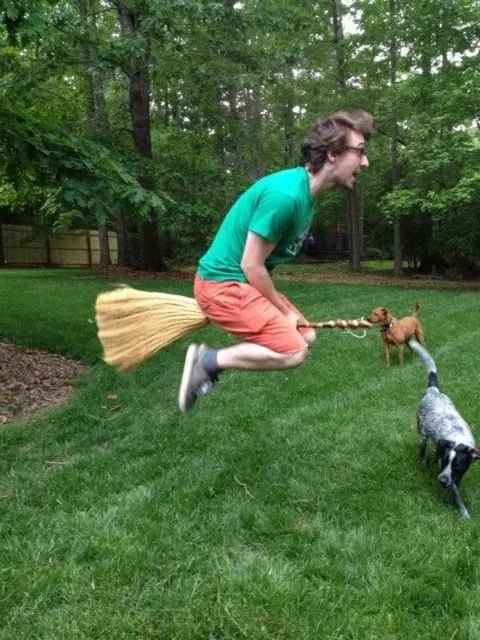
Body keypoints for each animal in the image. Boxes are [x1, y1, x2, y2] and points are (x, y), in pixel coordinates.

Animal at [408, 338, 480, 516]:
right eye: (445, 462)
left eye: (457, 466)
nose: (441, 480)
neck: (458, 438)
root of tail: (433, 391)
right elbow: (456, 495)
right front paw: (463, 512)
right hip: (422, 434)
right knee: (422, 449)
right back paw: (423, 461)